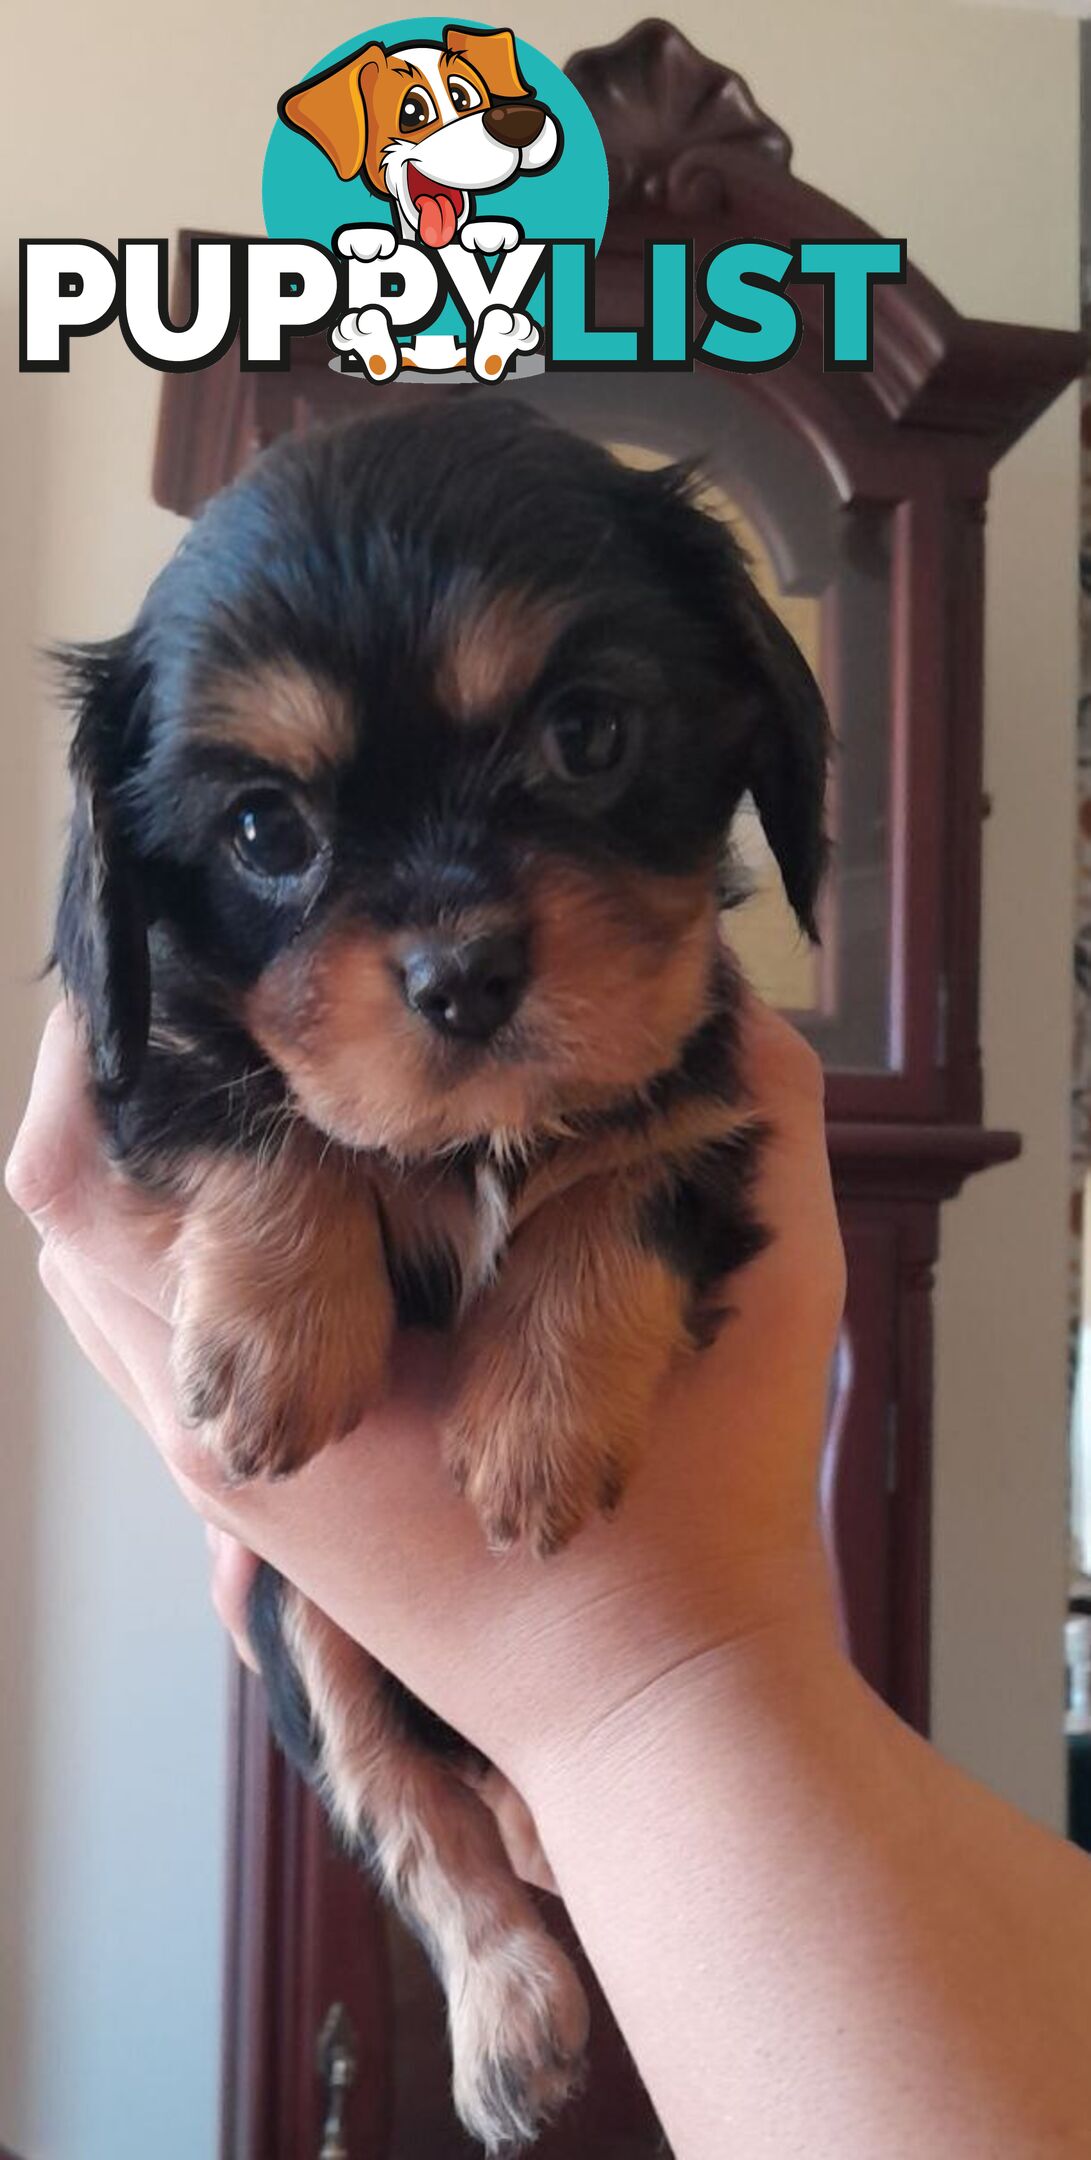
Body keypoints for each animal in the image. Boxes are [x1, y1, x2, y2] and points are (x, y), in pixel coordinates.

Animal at [53, 401, 825, 2142]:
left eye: (586, 735)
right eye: (265, 831)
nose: (463, 971)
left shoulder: (707, 1101)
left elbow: (612, 1200)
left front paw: (533, 1434)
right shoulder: (144, 1053)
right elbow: (258, 1101)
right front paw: (275, 1349)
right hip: (304, 1641)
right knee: (418, 1814)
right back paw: (509, 2027)